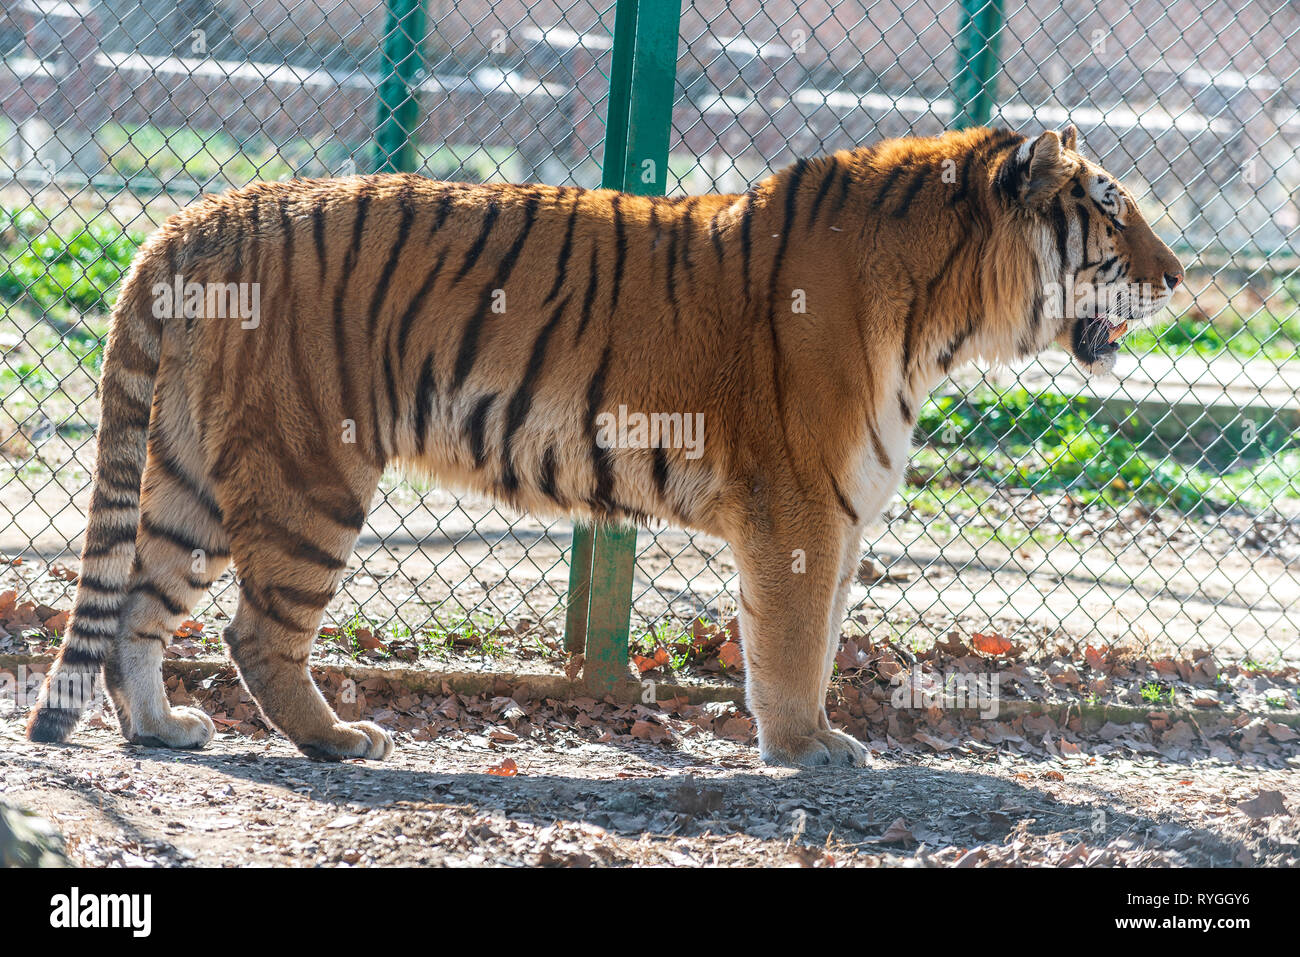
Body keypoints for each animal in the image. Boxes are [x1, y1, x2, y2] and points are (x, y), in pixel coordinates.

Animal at [22, 127, 1180, 764]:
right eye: (1111, 210)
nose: (1175, 279)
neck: (947, 318)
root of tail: (195, 216)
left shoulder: (841, 513)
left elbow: (811, 639)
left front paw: (809, 739)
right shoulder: (801, 507)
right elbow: (793, 642)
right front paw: (807, 750)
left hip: (191, 479)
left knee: (137, 608)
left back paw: (163, 731)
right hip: (308, 471)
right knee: (256, 631)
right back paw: (338, 740)